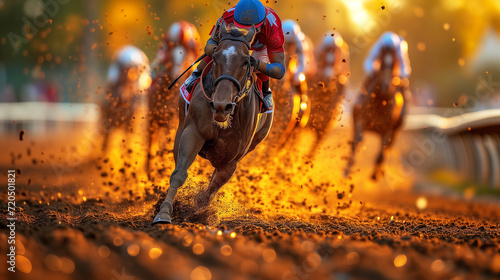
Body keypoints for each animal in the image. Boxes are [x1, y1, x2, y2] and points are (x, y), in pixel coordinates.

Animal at [153, 21, 274, 223]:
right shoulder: (192, 131)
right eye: (216, 57)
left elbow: (210, 191)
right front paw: (164, 212)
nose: (221, 105)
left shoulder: (230, 160)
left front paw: (197, 211)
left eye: (246, 61)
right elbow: (179, 173)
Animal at [346, 32, 412, 179]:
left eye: (393, 64)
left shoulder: (388, 130)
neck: (380, 103)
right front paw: (347, 169)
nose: (386, 86)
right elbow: (357, 140)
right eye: (381, 63)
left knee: (388, 148)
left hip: (396, 130)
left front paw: (376, 174)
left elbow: (383, 150)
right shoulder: (361, 119)